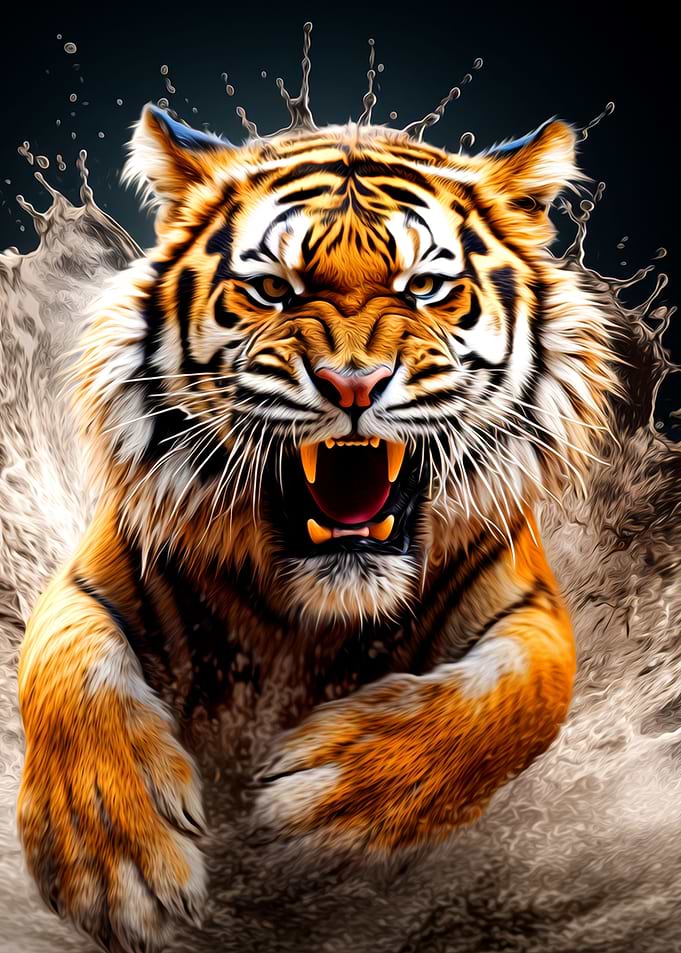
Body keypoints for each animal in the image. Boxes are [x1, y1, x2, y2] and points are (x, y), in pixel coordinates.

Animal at [16, 104, 616, 952]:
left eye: (425, 287)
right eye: (273, 289)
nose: (352, 384)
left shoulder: (528, 605)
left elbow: (519, 696)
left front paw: (330, 801)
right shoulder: (92, 576)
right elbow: (66, 667)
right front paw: (112, 858)